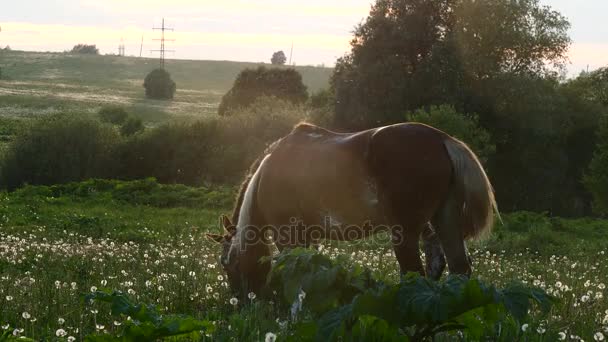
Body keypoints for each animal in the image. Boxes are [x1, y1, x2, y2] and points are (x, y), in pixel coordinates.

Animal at [209, 122, 498, 294]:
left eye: (226, 262)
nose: (239, 300)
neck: (267, 174)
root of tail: (441, 139)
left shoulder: (287, 235)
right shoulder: (309, 237)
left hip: (405, 232)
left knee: (414, 271)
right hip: (444, 221)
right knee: (458, 267)